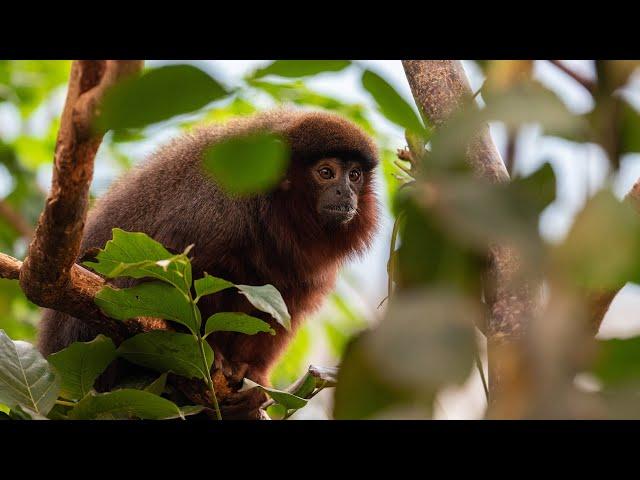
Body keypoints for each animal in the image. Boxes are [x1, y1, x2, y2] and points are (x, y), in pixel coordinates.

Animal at [37, 109, 380, 416]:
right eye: (326, 173)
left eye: (354, 175)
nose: (345, 192)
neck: (273, 209)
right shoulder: (219, 208)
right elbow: (163, 270)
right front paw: (206, 350)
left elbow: (282, 310)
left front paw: (253, 379)